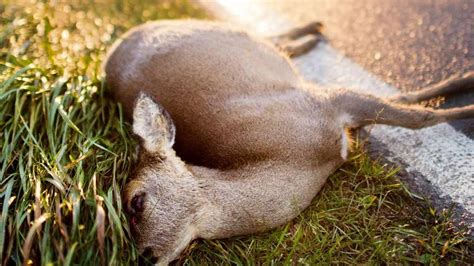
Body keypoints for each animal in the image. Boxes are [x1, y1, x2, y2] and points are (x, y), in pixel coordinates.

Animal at [104, 19, 474, 264]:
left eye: (136, 202)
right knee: (273, 40)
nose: (144, 256)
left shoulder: (325, 102)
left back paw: (312, 31)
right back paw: (312, 34)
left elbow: (417, 115)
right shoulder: (329, 106)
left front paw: (465, 94)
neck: (300, 158)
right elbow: (406, 105)